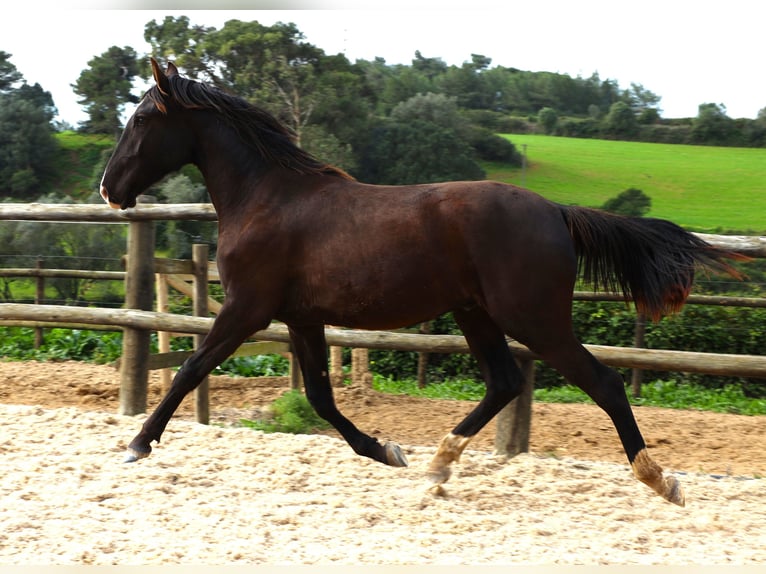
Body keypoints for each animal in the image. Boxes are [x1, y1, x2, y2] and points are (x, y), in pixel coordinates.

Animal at [99, 59, 748, 508]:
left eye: (140, 119)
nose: (109, 189)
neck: (266, 198)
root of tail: (557, 212)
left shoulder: (247, 308)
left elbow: (189, 368)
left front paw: (137, 444)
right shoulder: (302, 317)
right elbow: (321, 397)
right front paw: (387, 451)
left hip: (532, 318)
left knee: (604, 383)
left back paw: (662, 482)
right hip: (475, 313)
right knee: (505, 381)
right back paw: (438, 467)